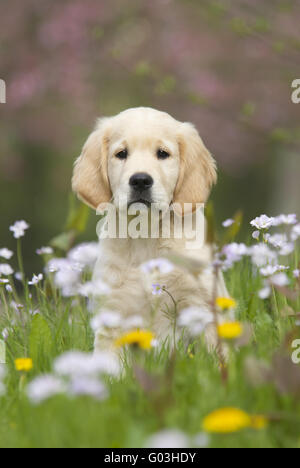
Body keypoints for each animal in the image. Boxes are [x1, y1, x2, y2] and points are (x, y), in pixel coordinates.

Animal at [72, 107, 227, 352]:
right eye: (121, 153)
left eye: (162, 153)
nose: (140, 180)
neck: (146, 234)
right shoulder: (113, 316)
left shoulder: (204, 307)